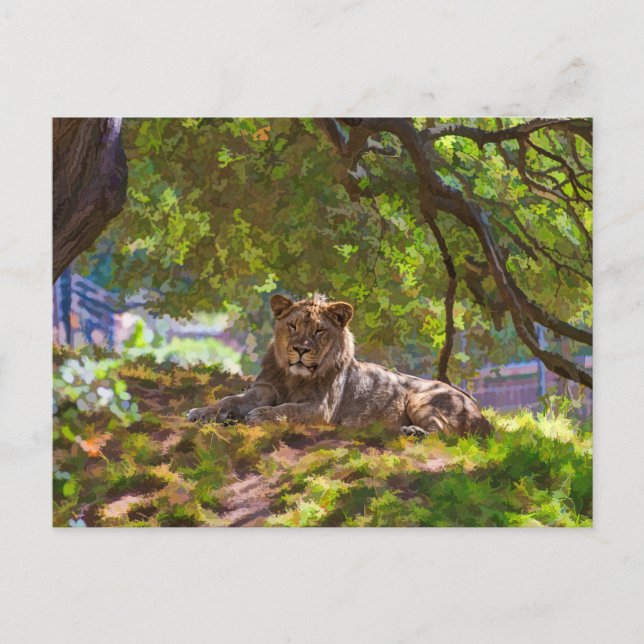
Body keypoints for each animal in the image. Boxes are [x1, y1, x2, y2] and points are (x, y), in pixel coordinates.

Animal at [187, 294, 491, 437]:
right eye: (292, 325)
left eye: (319, 331)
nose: (300, 350)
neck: (294, 378)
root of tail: (480, 412)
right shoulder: (264, 389)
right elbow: (229, 399)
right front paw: (202, 412)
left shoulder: (321, 408)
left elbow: (287, 409)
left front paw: (260, 415)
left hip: (421, 399)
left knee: (445, 434)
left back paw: (413, 432)